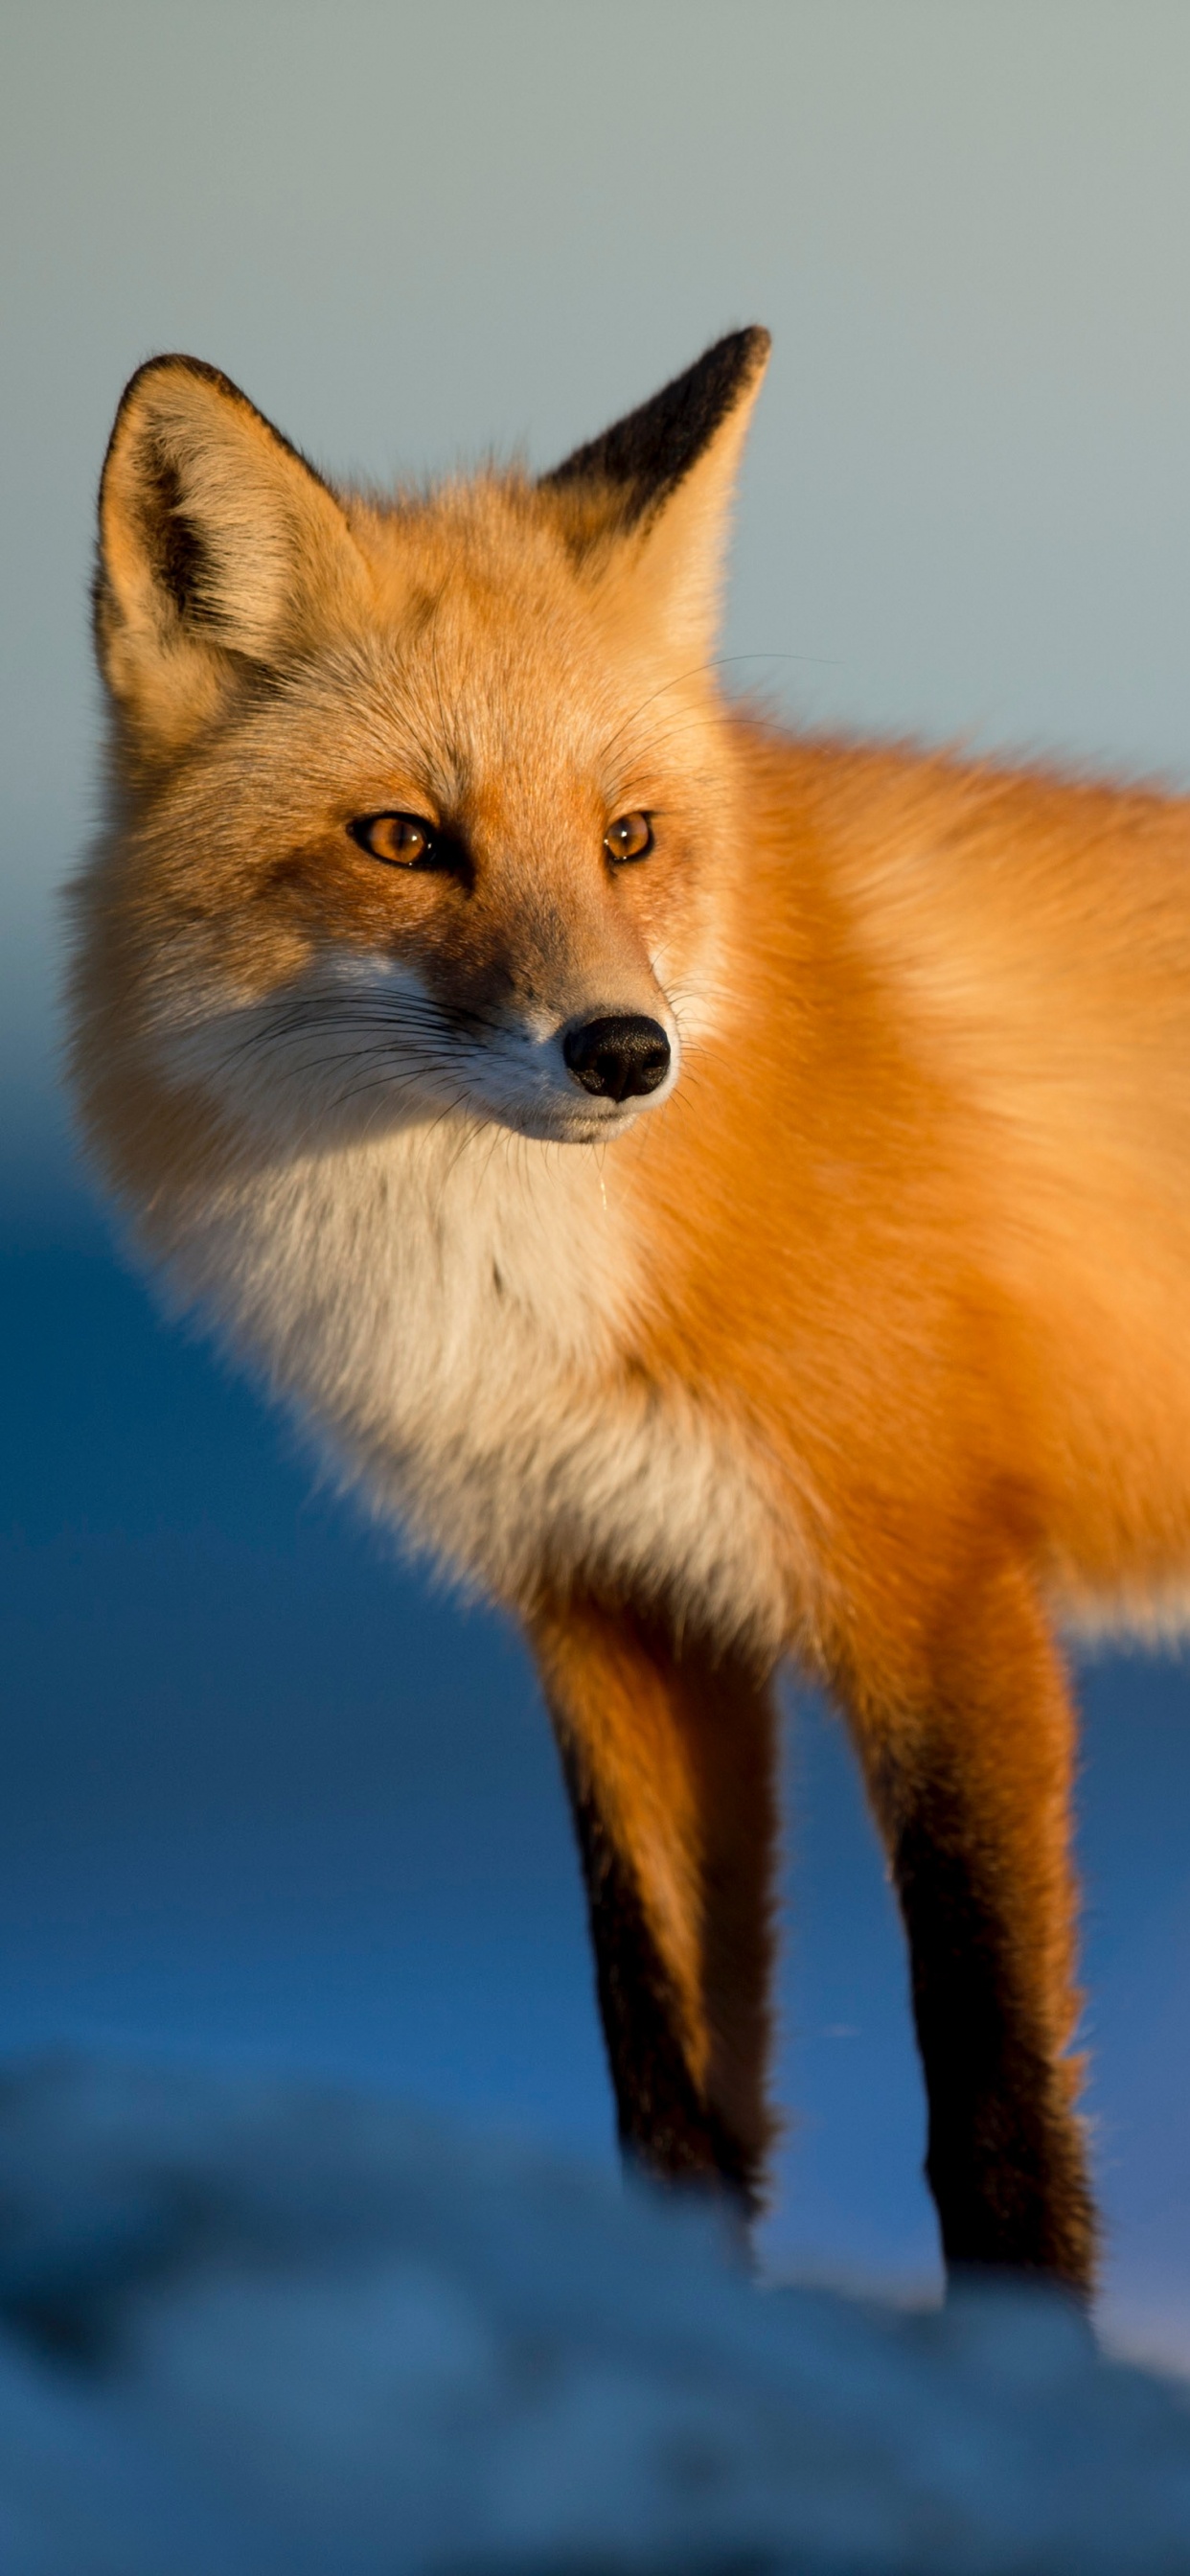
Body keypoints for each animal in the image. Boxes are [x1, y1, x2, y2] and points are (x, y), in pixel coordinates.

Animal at [69, 323, 1190, 2298]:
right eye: (402, 838)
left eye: (630, 837)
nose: (622, 1051)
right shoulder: (615, 1601)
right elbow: (664, 2075)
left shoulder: (936, 1585)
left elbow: (989, 2091)